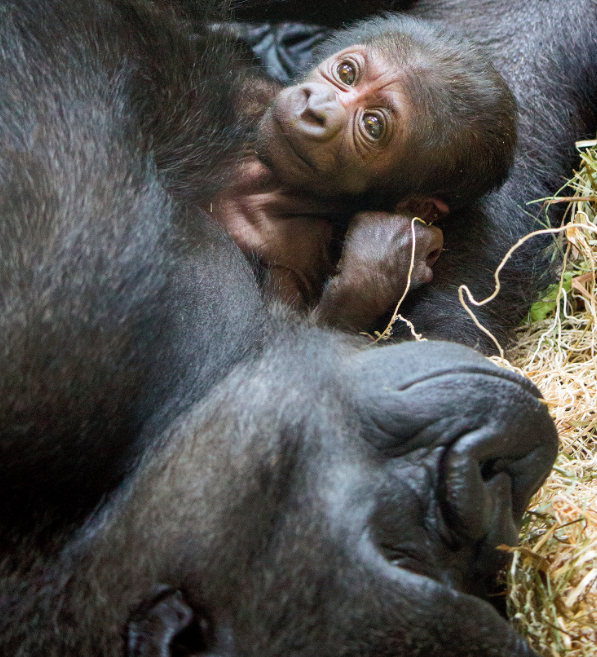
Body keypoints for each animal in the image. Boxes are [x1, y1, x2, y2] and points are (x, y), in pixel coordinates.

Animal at [211, 16, 516, 330]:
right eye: (347, 73)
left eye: (372, 125)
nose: (315, 108)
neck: (271, 184)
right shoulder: (251, 94)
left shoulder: (300, 258)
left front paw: (379, 266)